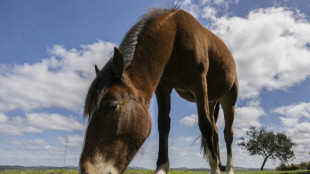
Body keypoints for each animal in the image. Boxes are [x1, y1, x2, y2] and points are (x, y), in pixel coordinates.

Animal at [79, 7, 237, 174]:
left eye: (112, 106)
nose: (88, 170)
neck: (175, 38)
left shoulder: (199, 83)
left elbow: (205, 125)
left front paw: (215, 168)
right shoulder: (163, 88)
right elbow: (163, 125)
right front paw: (161, 167)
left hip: (229, 98)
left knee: (227, 133)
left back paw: (228, 168)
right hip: (212, 101)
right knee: (216, 132)